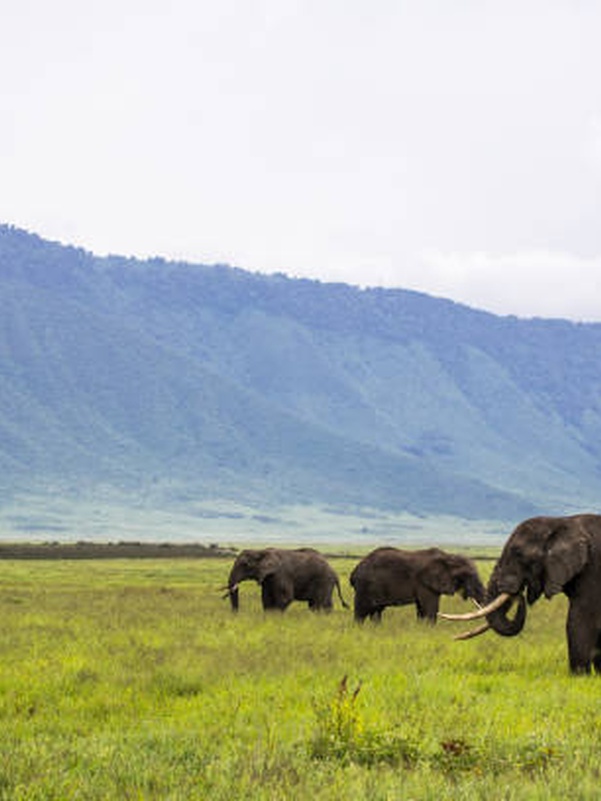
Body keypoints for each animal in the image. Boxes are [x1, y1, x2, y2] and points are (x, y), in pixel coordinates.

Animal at [349, 546, 485, 623]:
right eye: (468, 576)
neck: (448, 556)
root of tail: (355, 570)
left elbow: (421, 609)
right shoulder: (424, 584)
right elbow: (430, 609)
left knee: (376, 611)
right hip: (364, 587)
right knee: (361, 611)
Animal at [440, 514, 601, 674]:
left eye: (518, 554)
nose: (518, 594)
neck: (561, 521)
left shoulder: (593, 571)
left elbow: (580, 618)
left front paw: (579, 674)